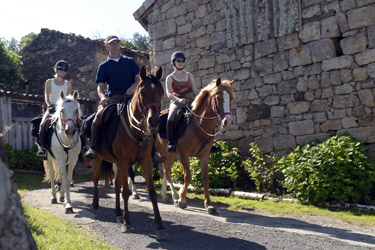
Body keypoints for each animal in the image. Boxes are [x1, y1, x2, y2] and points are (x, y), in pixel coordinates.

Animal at [90, 65, 167, 239]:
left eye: (160, 92)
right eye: (142, 93)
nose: (154, 121)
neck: (136, 130)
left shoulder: (145, 161)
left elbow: (152, 192)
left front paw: (159, 226)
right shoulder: (125, 162)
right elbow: (125, 191)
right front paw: (127, 223)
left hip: (118, 163)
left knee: (117, 184)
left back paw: (118, 213)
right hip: (98, 159)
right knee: (96, 179)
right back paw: (96, 204)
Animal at [156, 76, 235, 215]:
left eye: (230, 98)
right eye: (218, 98)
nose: (228, 122)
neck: (199, 123)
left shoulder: (205, 154)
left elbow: (205, 178)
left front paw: (209, 205)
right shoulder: (184, 154)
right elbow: (188, 176)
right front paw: (182, 200)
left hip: (169, 154)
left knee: (166, 171)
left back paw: (166, 196)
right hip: (164, 152)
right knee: (167, 172)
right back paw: (174, 197)